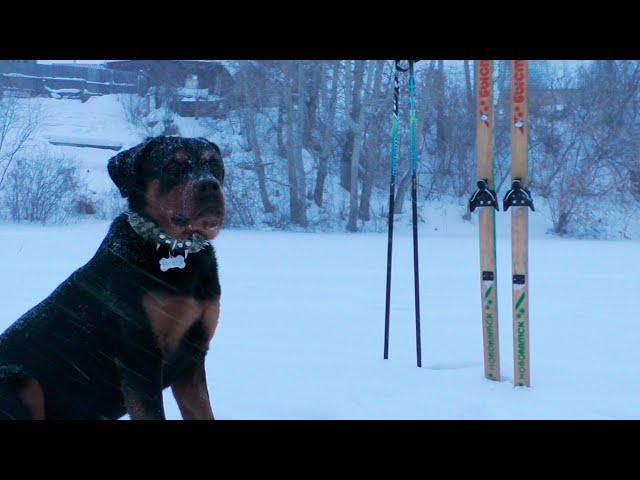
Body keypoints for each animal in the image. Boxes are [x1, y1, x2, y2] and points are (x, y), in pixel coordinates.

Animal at [0, 136, 226, 420]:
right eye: (173, 167)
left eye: (214, 165)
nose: (209, 184)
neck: (176, 252)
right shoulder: (139, 357)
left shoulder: (192, 357)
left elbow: (203, 411)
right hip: (20, 381)